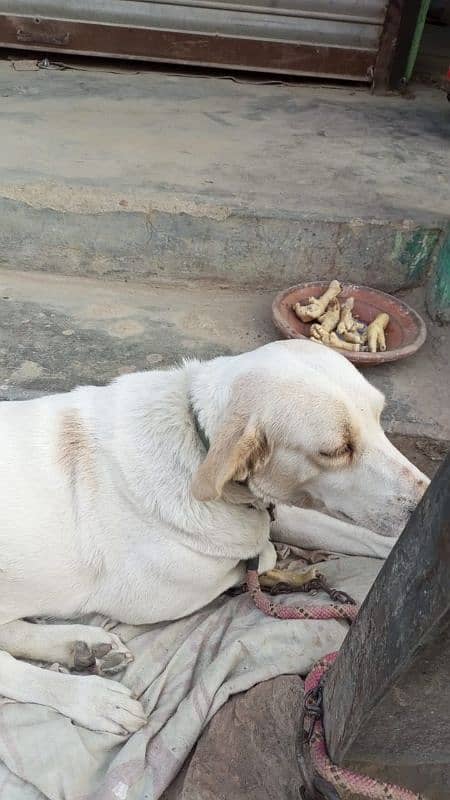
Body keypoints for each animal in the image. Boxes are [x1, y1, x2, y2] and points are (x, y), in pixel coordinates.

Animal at [0, 338, 428, 732]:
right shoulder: (153, 598)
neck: (197, 442)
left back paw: (83, 646)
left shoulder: (273, 509)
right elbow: (254, 555)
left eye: (380, 417)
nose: (424, 499)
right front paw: (272, 562)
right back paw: (92, 699)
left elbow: (344, 532)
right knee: (10, 669)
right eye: (337, 450)